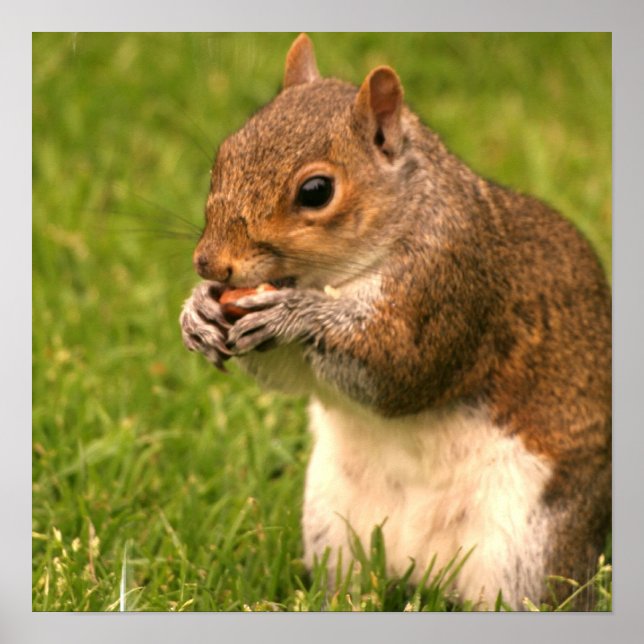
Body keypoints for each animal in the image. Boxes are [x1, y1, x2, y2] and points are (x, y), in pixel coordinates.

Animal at [180, 34, 611, 610]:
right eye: (223, 158)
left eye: (315, 191)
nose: (210, 264)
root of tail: (426, 570)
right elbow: (288, 376)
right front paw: (197, 311)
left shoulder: (451, 283)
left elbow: (401, 372)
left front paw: (296, 315)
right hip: (334, 525)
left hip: (529, 550)